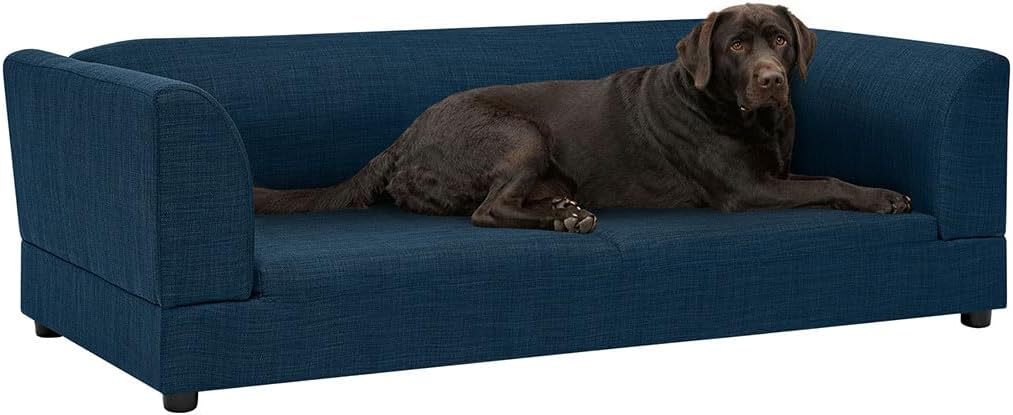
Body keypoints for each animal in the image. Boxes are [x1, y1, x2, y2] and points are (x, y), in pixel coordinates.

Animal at [254, 3, 912, 233]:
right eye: (735, 47)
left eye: (778, 39)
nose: (773, 79)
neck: (750, 119)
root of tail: (403, 138)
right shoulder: (746, 189)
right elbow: (830, 182)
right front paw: (884, 198)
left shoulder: (775, 173)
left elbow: (821, 176)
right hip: (521, 134)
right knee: (486, 211)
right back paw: (564, 219)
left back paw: (565, 207)